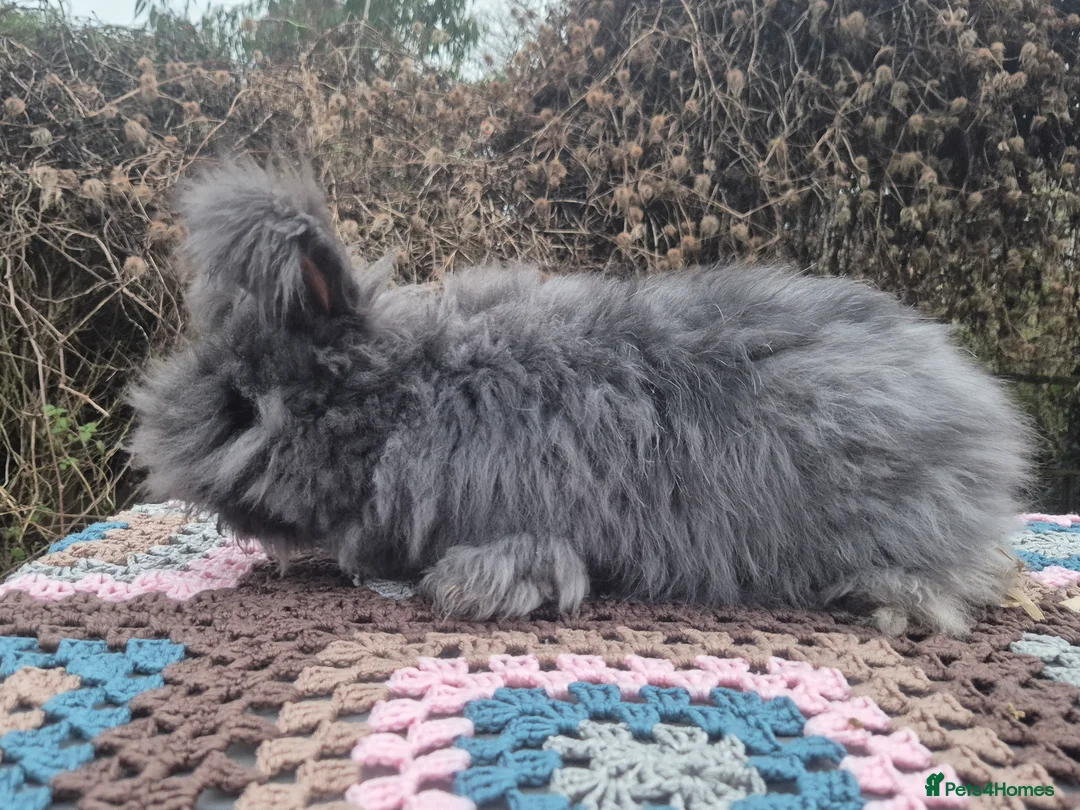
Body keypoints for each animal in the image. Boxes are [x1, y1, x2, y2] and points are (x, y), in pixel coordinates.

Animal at [127, 157, 1036, 638]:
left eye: (242, 407)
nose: (153, 454)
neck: (407, 402)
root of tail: (981, 408)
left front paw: (465, 591)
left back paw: (892, 599)